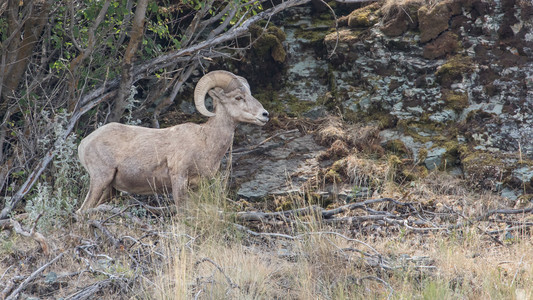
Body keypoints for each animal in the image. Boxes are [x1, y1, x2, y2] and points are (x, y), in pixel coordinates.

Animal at [77, 70, 268, 212]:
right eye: (238, 97)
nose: (265, 115)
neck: (205, 141)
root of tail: (84, 144)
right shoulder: (179, 180)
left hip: (109, 190)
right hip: (100, 180)